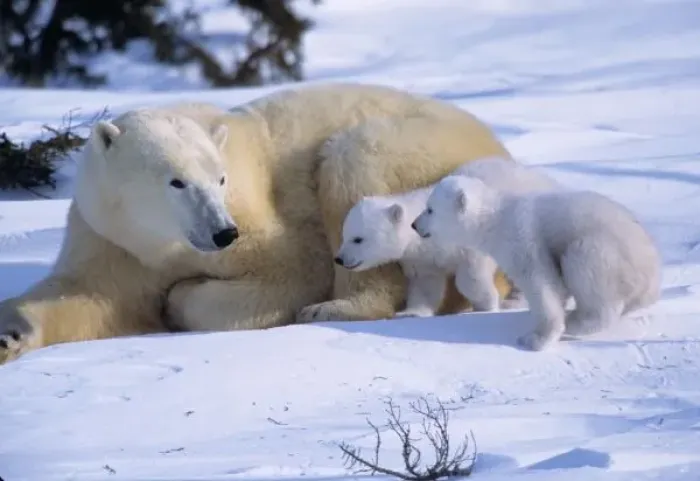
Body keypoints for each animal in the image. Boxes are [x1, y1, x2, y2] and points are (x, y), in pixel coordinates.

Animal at [0, 82, 518, 364]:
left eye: (220, 177)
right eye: (176, 181)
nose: (222, 232)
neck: (161, 242)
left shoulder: (259, 221)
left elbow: (290, 271)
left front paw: (178, 299)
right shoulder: (111, 238)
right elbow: (89, 297)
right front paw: (10, 336)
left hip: (413, 150)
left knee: (354, 164)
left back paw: (334, 307)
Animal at [334, 156, 562, 318]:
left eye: (358, 239)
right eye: (344, 236)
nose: (339, 259)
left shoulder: (467, 238)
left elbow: (470, 275)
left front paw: (487, 304)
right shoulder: (422, 259)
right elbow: (426, 285)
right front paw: (411, 312)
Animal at [411, 174, 662, 351]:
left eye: (430, 209)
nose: (414, 225)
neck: (496, 219)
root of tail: (651, 271)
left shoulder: (522, 238)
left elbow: (541, 282)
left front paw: (535, 339)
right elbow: (557, 288)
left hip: (604, 252)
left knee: (584, 268)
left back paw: (578, 321)